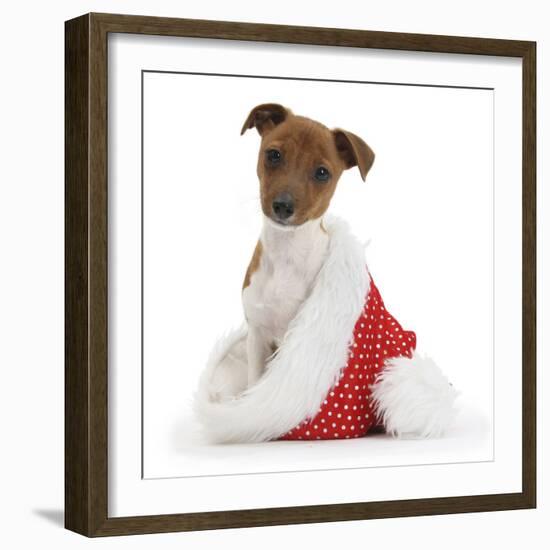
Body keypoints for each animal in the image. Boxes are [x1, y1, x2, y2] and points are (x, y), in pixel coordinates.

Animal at [240, 103, 376, 388]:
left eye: (322, 172)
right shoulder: (256, 335)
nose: (283, 206)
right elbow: (254, 386)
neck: (286, 254)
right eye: (274, 155)